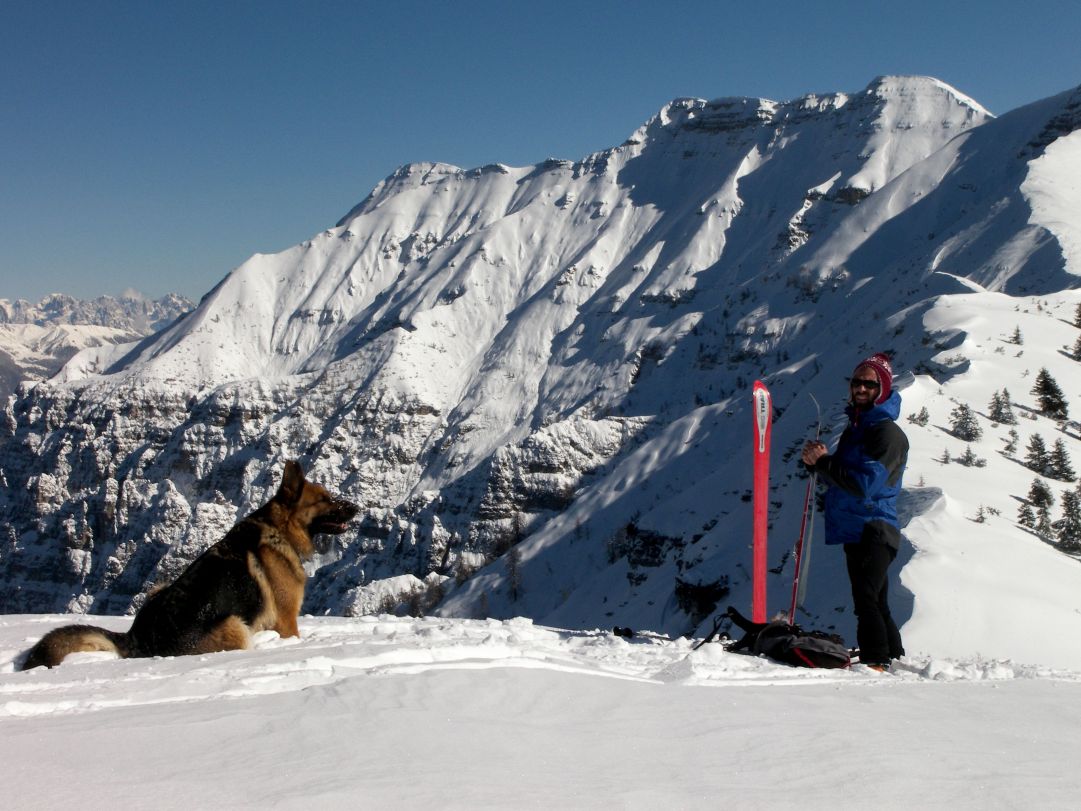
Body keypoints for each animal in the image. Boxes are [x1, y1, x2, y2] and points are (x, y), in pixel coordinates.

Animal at [21, 462, 358, 674]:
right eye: (326, 499)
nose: (356, 507)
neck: (280, 529)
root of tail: (136, 637)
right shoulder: (287, 621)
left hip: (158, 587)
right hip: (234, 624)